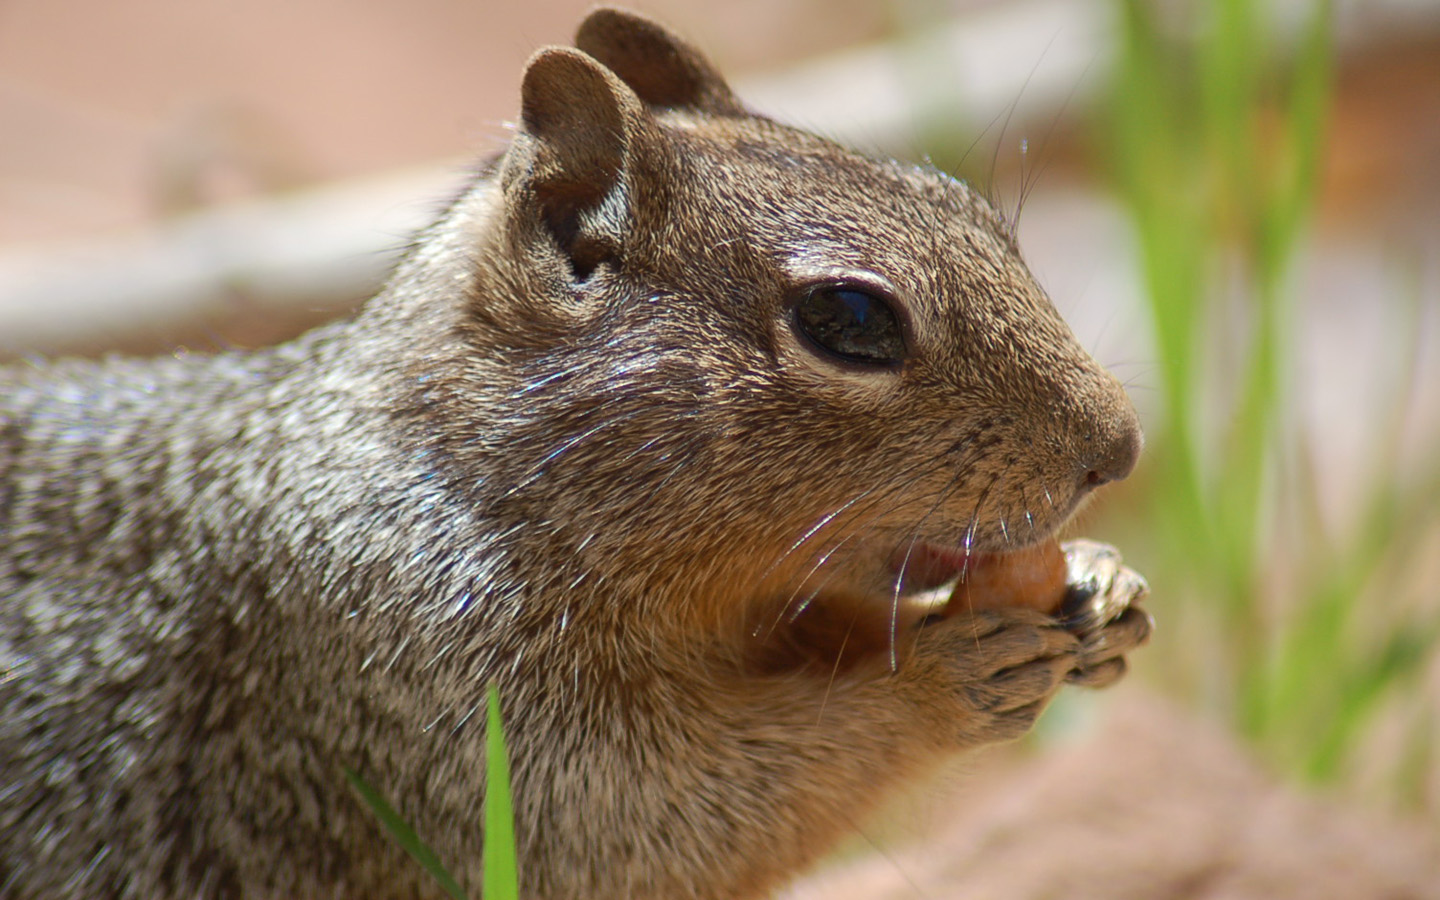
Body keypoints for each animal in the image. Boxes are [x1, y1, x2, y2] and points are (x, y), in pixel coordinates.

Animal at [0, 8, 1146, 898]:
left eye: (960, 198)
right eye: (850, 319)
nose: (1120, 449)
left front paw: (1102, 583)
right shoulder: (420, 682)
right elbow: (656, 821)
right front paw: (944, 674)